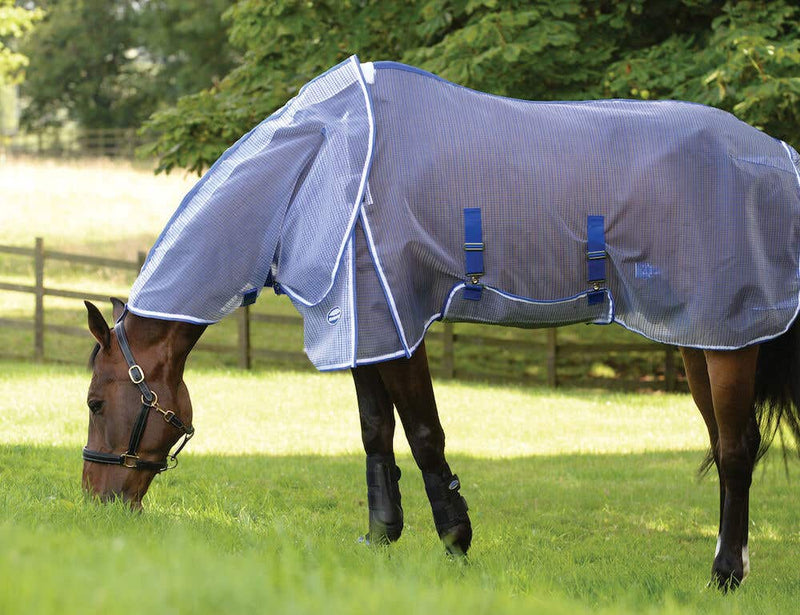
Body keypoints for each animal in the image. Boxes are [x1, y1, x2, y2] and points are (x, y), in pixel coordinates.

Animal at [82, 57, 800, 590]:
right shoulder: (363, 324)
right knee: (724, 445)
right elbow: (375, 433)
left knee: (738, 450)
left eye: (93, 400)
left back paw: (725, 574)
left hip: (732, 339)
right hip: (704, 339)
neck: (319, 163)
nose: (94, 504)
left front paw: (455, 539)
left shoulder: (398, 322)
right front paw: (380, 535)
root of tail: (777, 156)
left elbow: (424, 433)